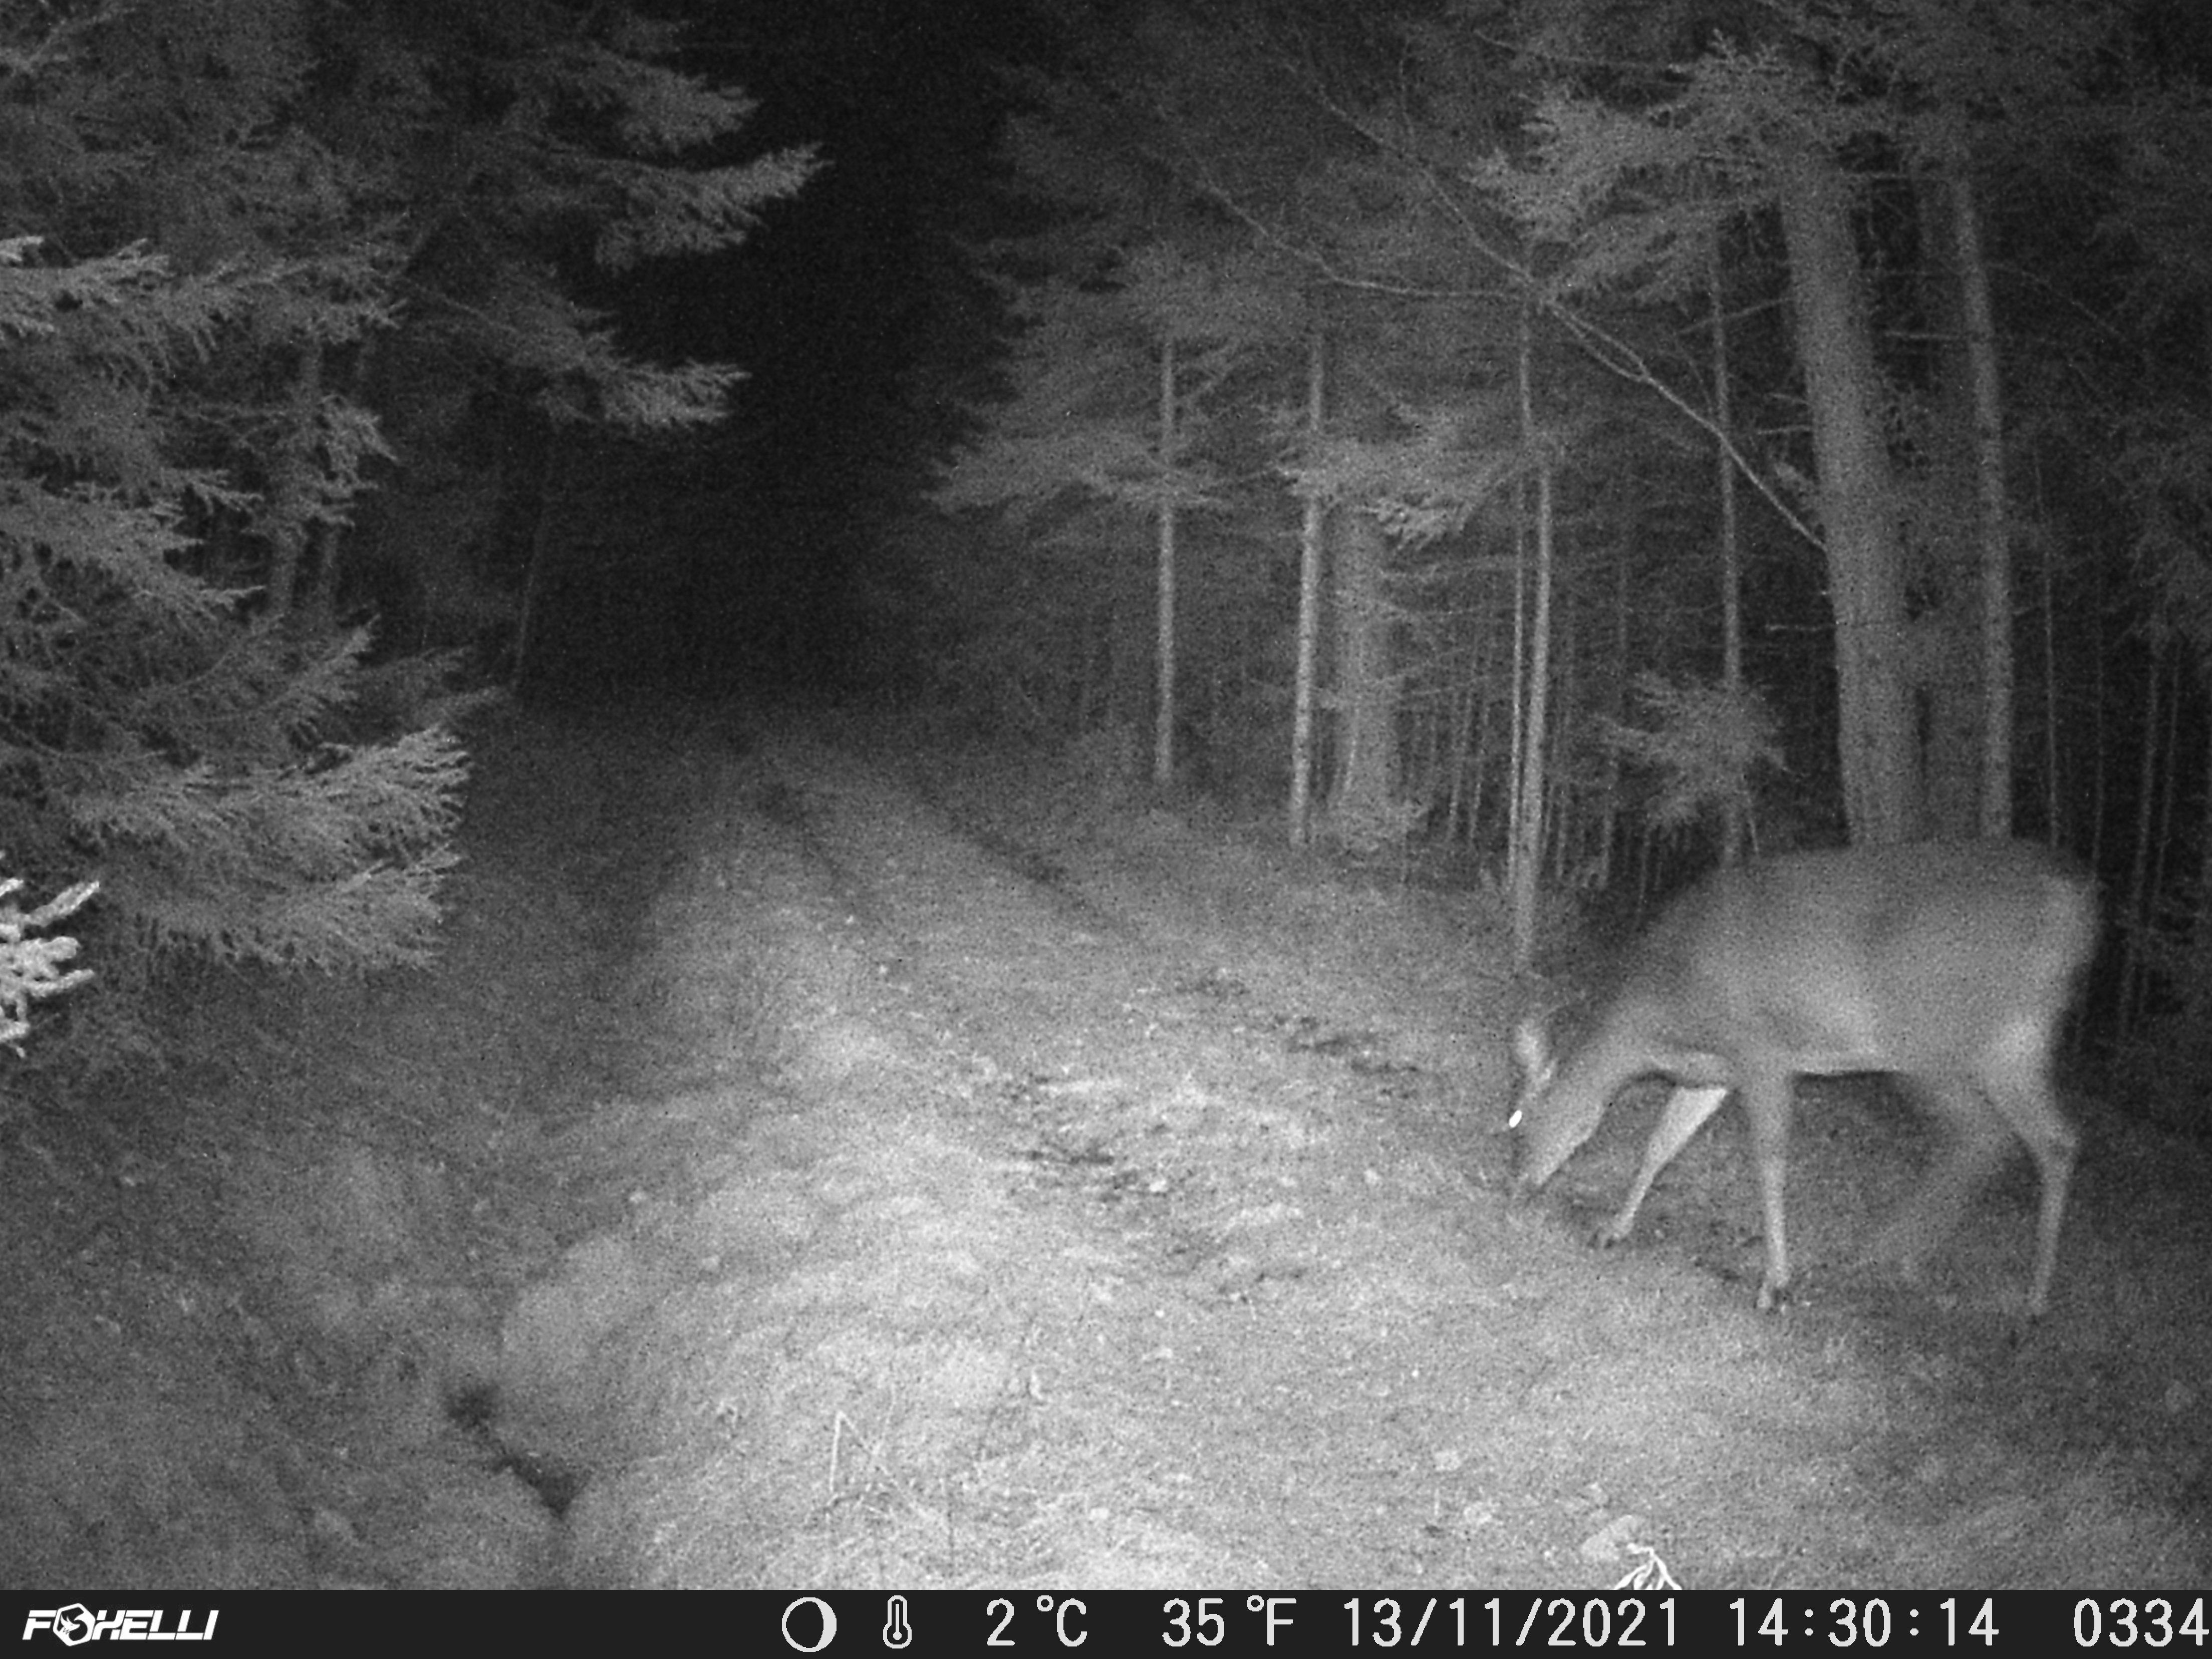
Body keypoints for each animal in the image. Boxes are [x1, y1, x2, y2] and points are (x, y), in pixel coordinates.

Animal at [1507, 840, 2097, 1318]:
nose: (1518, 1186)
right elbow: (1661, 1143)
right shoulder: (1712, 1072)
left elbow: (1769, 1163)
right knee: (2053, 1139)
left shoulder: (1763, 1051)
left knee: (1984, 1135)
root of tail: (2072, 903)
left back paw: (1896, 1252)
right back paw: (2005, 1290)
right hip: (2016, 1039)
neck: (1664, 1018)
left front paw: (1775, 1285)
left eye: (1522, 1123)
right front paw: (1612, 1230)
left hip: (1933, 1036)